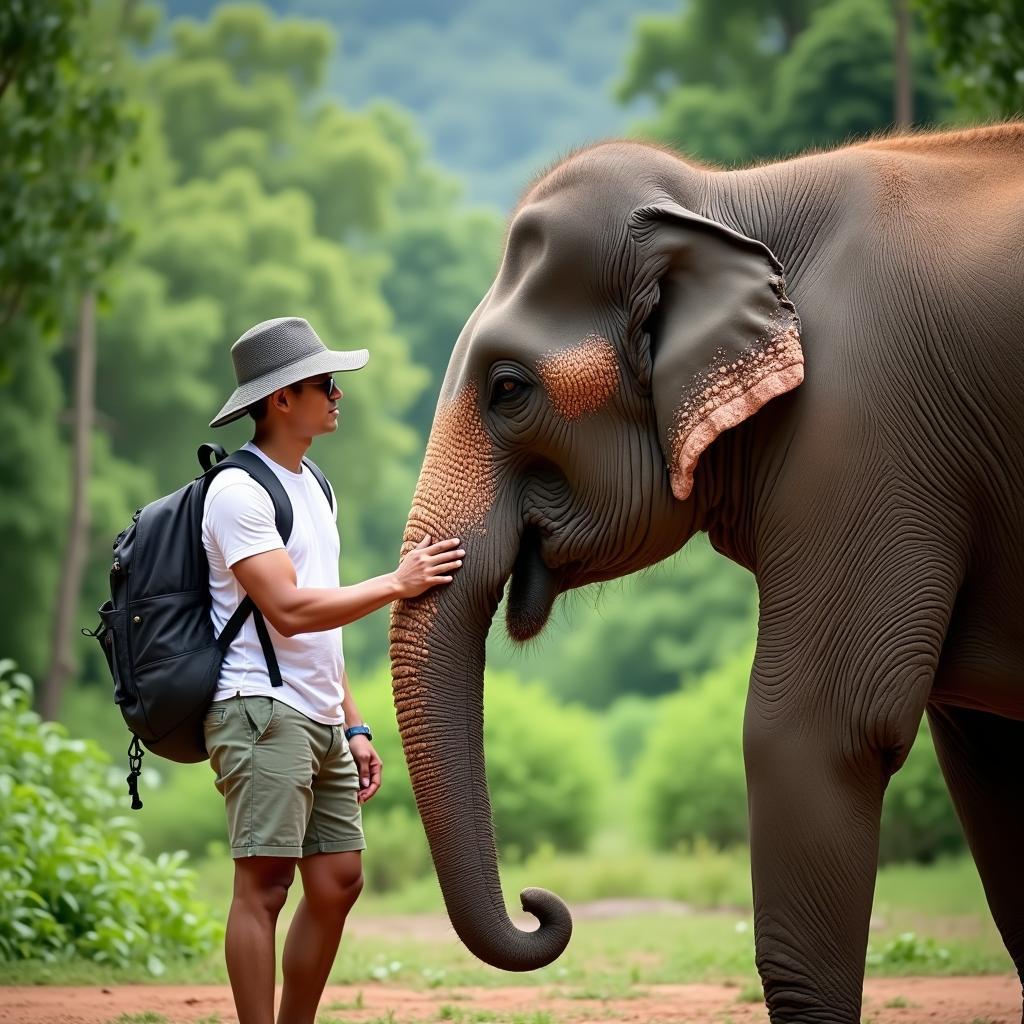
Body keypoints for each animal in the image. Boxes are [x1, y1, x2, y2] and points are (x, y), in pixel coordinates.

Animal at [385, 121, 1024, 1024]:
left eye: (508, 389)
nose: (540, 904)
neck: (728, 198)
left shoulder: (868, 431)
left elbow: (815, 730)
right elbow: (987, 751)